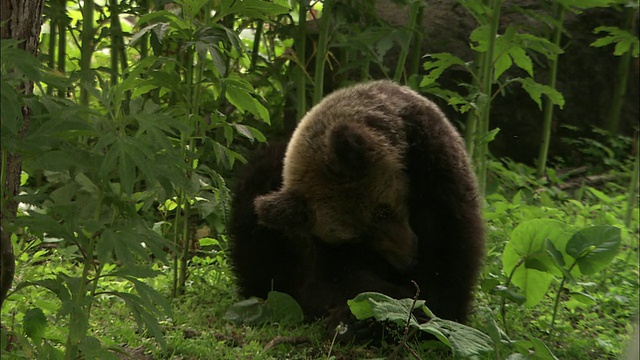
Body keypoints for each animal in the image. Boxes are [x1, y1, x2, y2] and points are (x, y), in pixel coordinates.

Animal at [228, 80, 482, 342]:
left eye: (381, 212)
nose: (407, 259)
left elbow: (447, 263)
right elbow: (337, 279)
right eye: (359, 237)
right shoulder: (318, 242)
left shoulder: (437, 175)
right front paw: (359, 318)